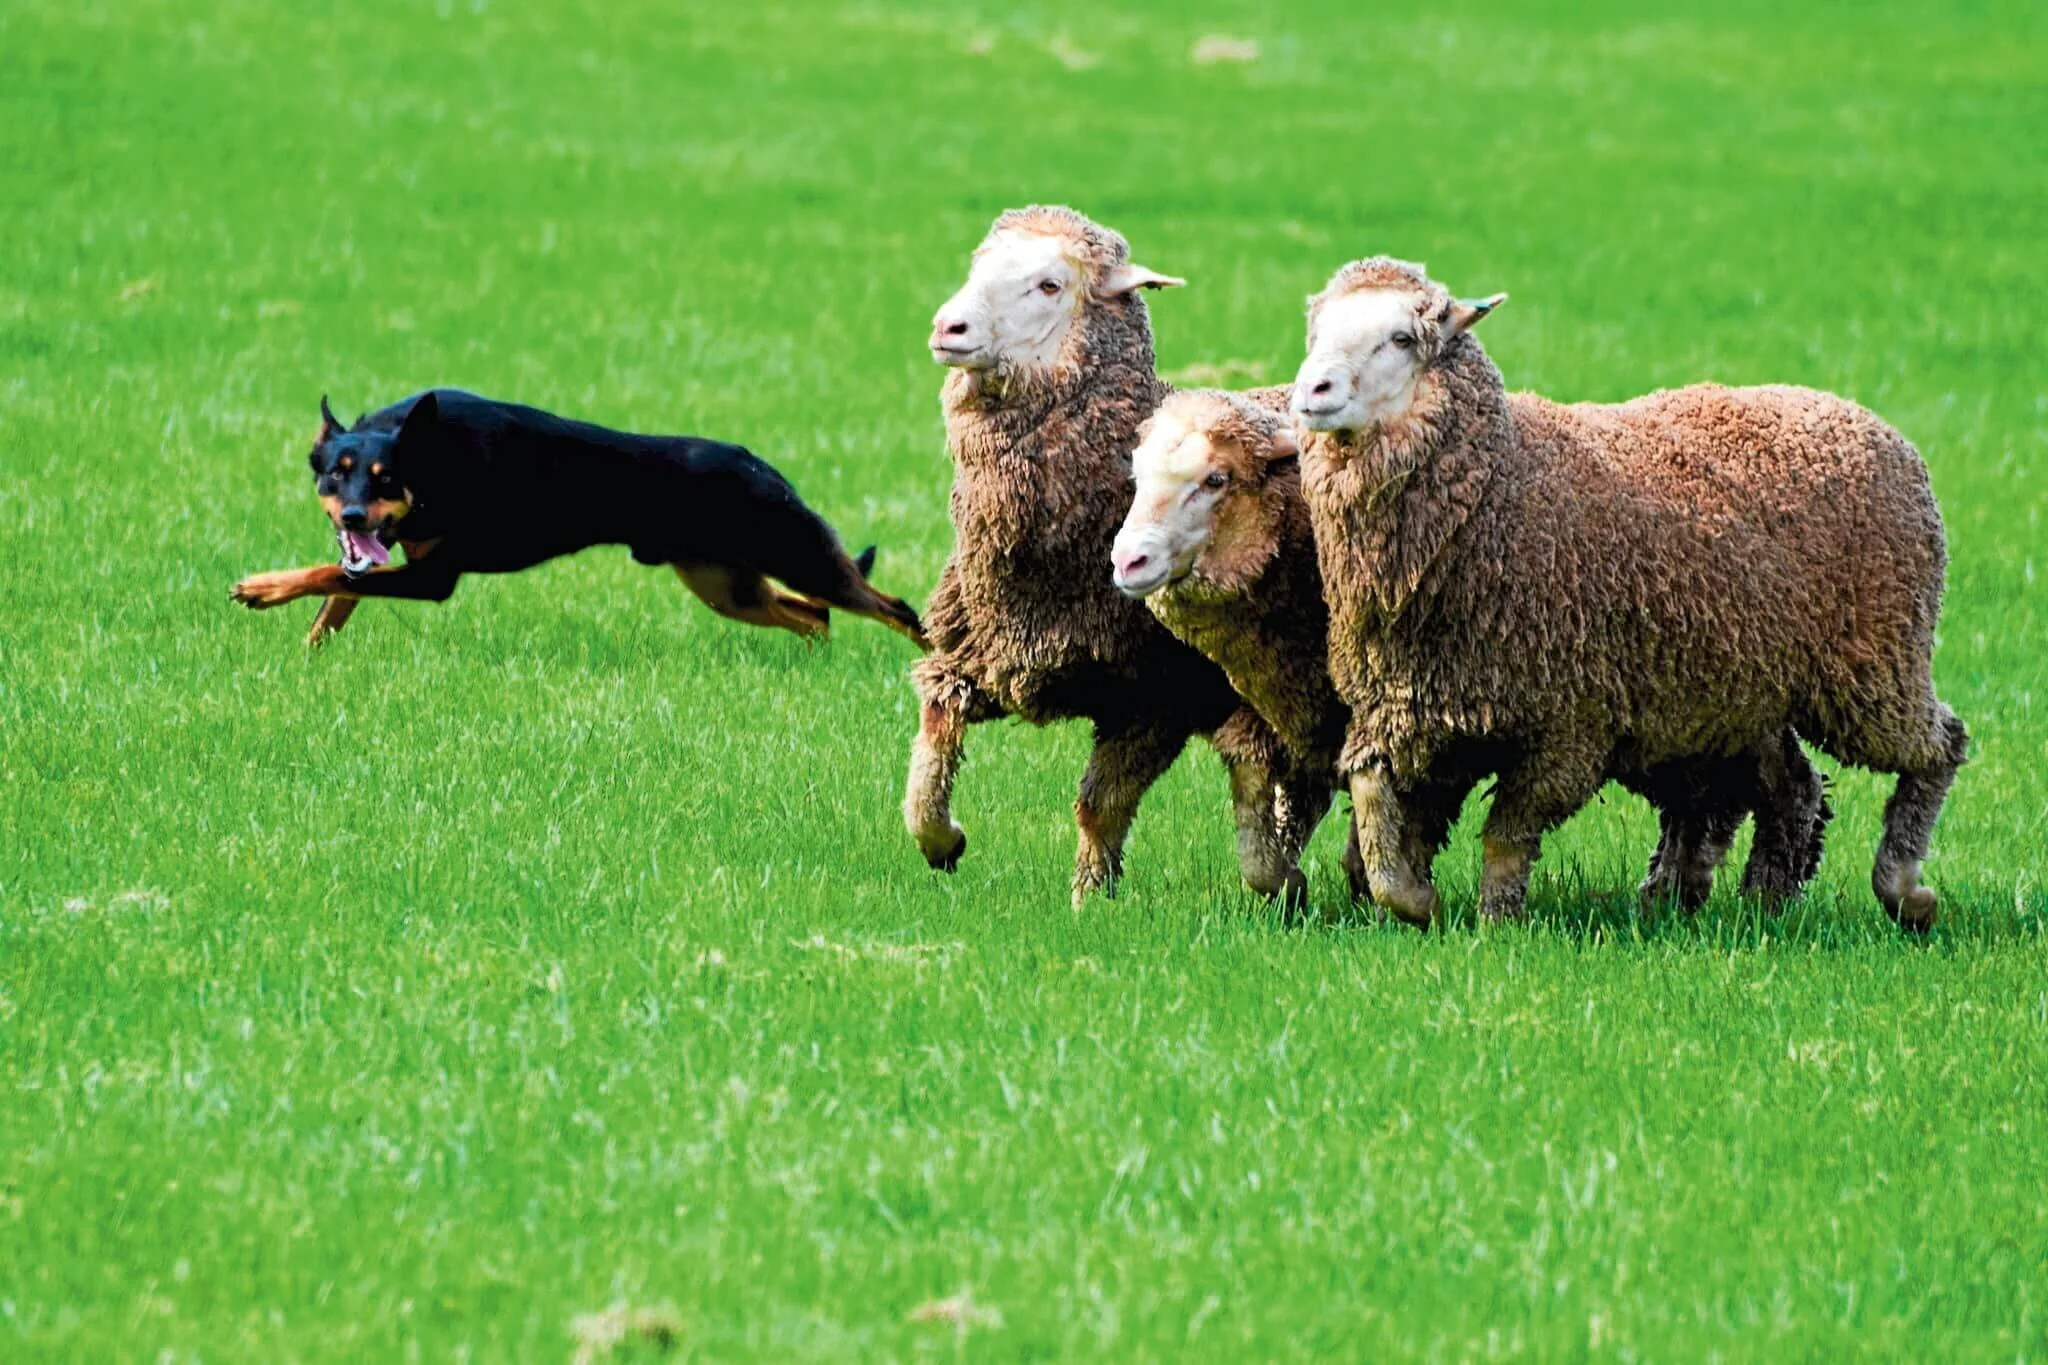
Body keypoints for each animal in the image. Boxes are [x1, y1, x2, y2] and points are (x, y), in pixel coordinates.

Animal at [905, 206, 1302, 906]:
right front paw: (942, 841)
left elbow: (1101, 805)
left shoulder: (1155, 698)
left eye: (1050, 285)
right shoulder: (976, 653)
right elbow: (934, 739)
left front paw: (1091, 898)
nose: (948, 327)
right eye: (979, 266)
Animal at [1109, 388, 1833, 917]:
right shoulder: (1298, 716)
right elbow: (1270, 809)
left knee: (1777, 786)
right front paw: (1297, 890)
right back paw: (1693, 895)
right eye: (1137, 477)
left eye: (1216, 478)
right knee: (1734, 790)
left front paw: (1398, 900)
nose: (1127, 560)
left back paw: (1760, 898)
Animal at [1290, 256, 1962, 929]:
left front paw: (1496, 922)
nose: (1311, 393)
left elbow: (1507, 835)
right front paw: (1412, 900)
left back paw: (1904, 887)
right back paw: (1763, 901)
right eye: (1315, 333)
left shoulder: (1571, 723)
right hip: (1739, 697)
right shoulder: (1412, 707)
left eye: (1403, 338)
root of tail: (1863, 419)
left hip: (1875, 664)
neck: (1500, 484)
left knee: (1940, 747)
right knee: (1794, 785)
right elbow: (1372, 797)